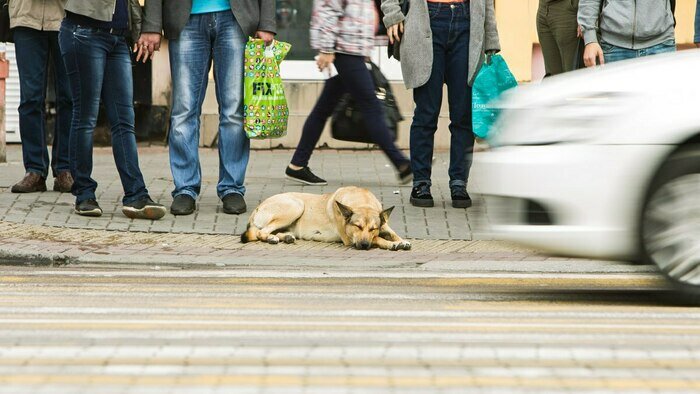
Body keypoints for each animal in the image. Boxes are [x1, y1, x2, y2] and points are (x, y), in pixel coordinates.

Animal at [243, 186, 412, 251]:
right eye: (357, 226)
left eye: (373, 228)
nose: (364, 245)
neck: (362, 201)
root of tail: (256, 208)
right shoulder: (350, 239)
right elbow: (377, 239)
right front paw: (391, 244)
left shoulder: (383, 225)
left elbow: (392, 233)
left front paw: (401, 241)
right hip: (296, 206)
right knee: (261, 232)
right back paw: (271, 238)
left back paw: (286, 237)